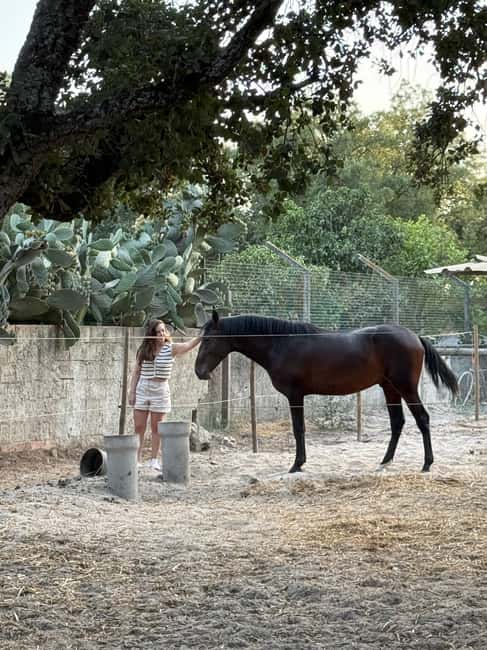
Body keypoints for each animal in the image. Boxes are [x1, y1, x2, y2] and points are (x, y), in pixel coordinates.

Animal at [195, 311, 458, 474]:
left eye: (208, 339)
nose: (199, 372)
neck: (281, 343)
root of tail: (414, 336)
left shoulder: (295, 396)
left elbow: (298, 429)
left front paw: (297, 464)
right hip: (389, 388)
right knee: (397, 423)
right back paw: (384, 462)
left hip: (405, 388)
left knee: (422, 419)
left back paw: (426, 464)